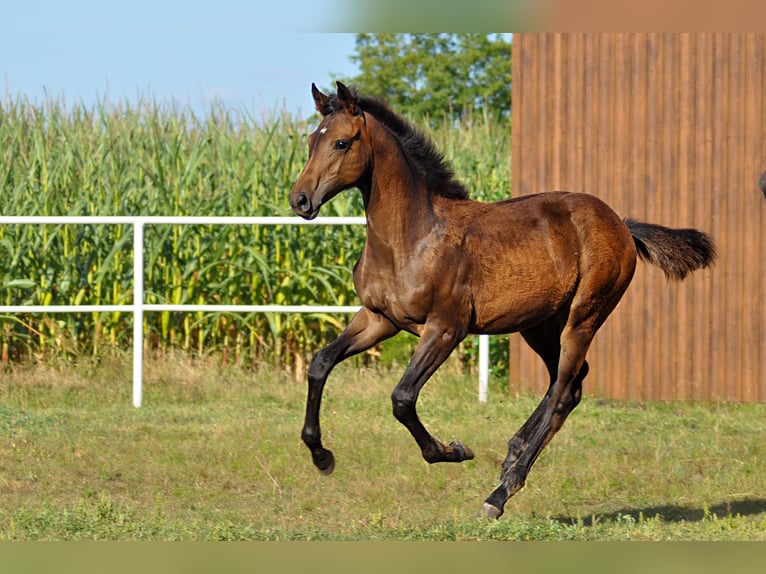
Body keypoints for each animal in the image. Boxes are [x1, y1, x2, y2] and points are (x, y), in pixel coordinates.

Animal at [288, 82, 712, 520]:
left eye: (341, 142)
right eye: (311, 140)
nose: (299, 200)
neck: (412, 237)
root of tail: (622, 225)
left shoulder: (446, 329)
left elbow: (402, 398)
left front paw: (453, 451)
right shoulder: (378, 319)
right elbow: (320, 363)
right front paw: (321, 456)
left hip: (584, 316)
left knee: (564, 390)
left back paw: (500, 492)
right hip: (539, 324)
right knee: (570, 384)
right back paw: (512, 455)